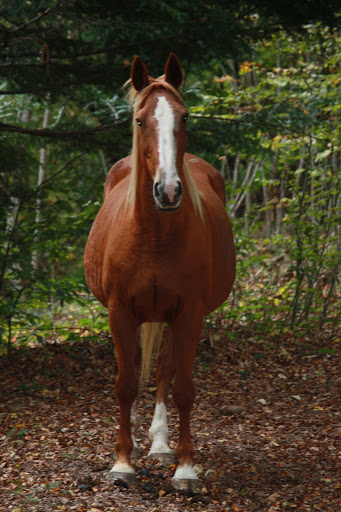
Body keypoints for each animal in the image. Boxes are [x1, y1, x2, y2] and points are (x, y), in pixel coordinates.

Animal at [83, 54, 235, 490]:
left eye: (184, 117)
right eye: (138, 120)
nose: (168, 191)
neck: (153, 235)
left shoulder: (189, 313)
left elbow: (182, 387)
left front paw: (185, 467)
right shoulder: (119, 312)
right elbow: (126, 384)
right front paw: (121, 463)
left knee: (165, 371)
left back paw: (162, 445)